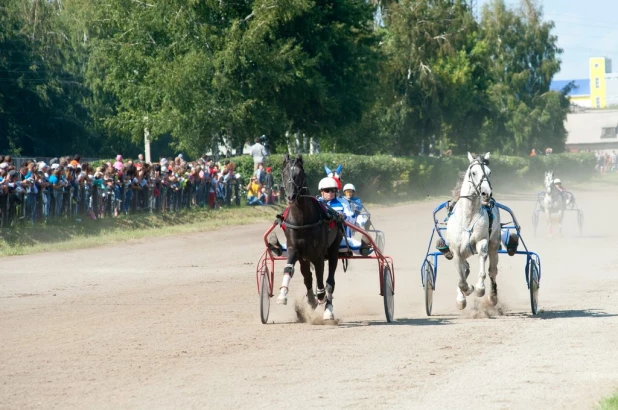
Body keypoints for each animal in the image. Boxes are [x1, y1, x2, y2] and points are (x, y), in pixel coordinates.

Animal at [274, 154, 342, 320]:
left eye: (300, 174)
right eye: (284, 173)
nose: (291, 196)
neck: (302, 220)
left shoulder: (318, 254)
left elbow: (321, 279)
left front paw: (321, 297)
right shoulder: (294, 249)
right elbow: (289, 269)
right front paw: (282, 295)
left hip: (334, 249)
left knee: (330, 280)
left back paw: (328, 309)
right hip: (304, 257)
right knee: (307, 276)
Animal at [442, 152, 500, 310]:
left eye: (489, 172)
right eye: (473, 172)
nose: (486, 193)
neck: (467, 216)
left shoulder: (482, 241)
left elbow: (482, 262)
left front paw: (479, 288)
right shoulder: (456, 251)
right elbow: (461, 279)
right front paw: (465, 293)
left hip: (494, 244)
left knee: (492, 271)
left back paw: (492, 297)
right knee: (465, 269)